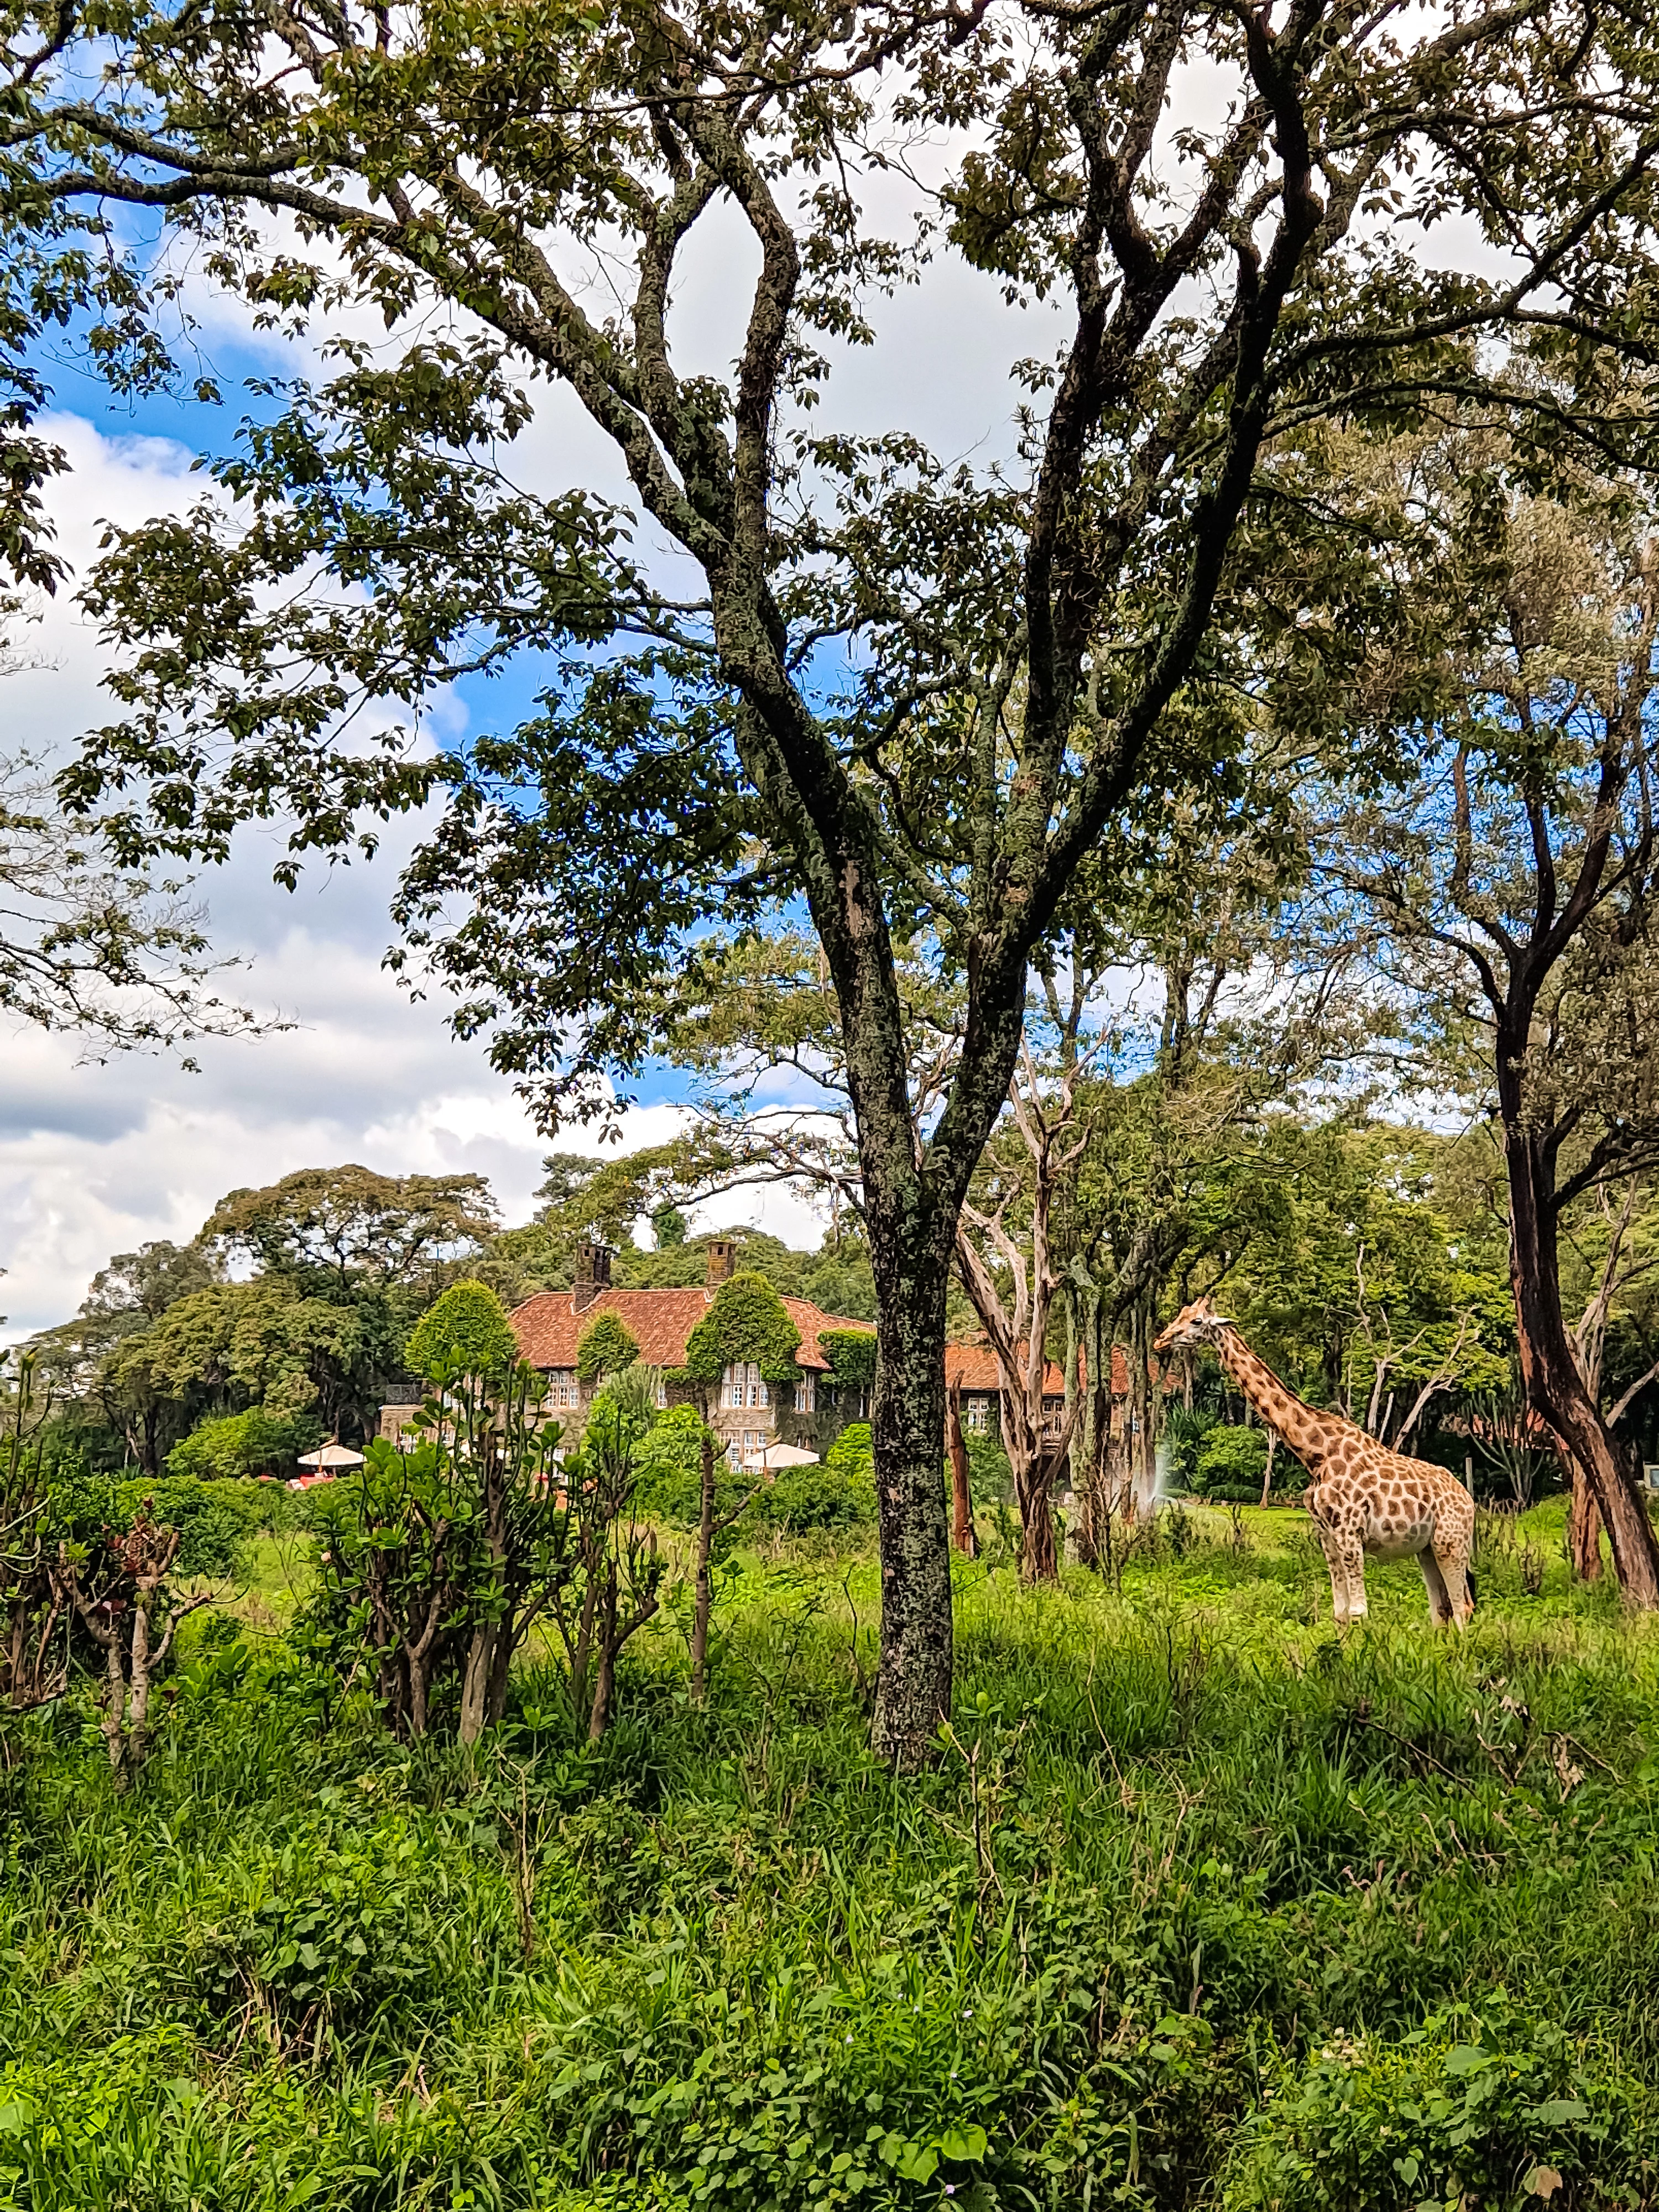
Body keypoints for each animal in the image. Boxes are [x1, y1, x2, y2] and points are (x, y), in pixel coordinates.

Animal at [1159, 1292, 1478, 1628]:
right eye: (1181, 1314)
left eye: (1196, 1321)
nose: (1160, 1341)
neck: (1316, 1454)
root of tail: (1469, 1501)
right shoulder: (1326, 1534)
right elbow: (1340, 1612)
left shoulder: (1349, 1531)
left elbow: (1358, 1612)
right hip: (1426, 1548)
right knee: (1440, 1608)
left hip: (1451, 1542)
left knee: (1462, 1607)